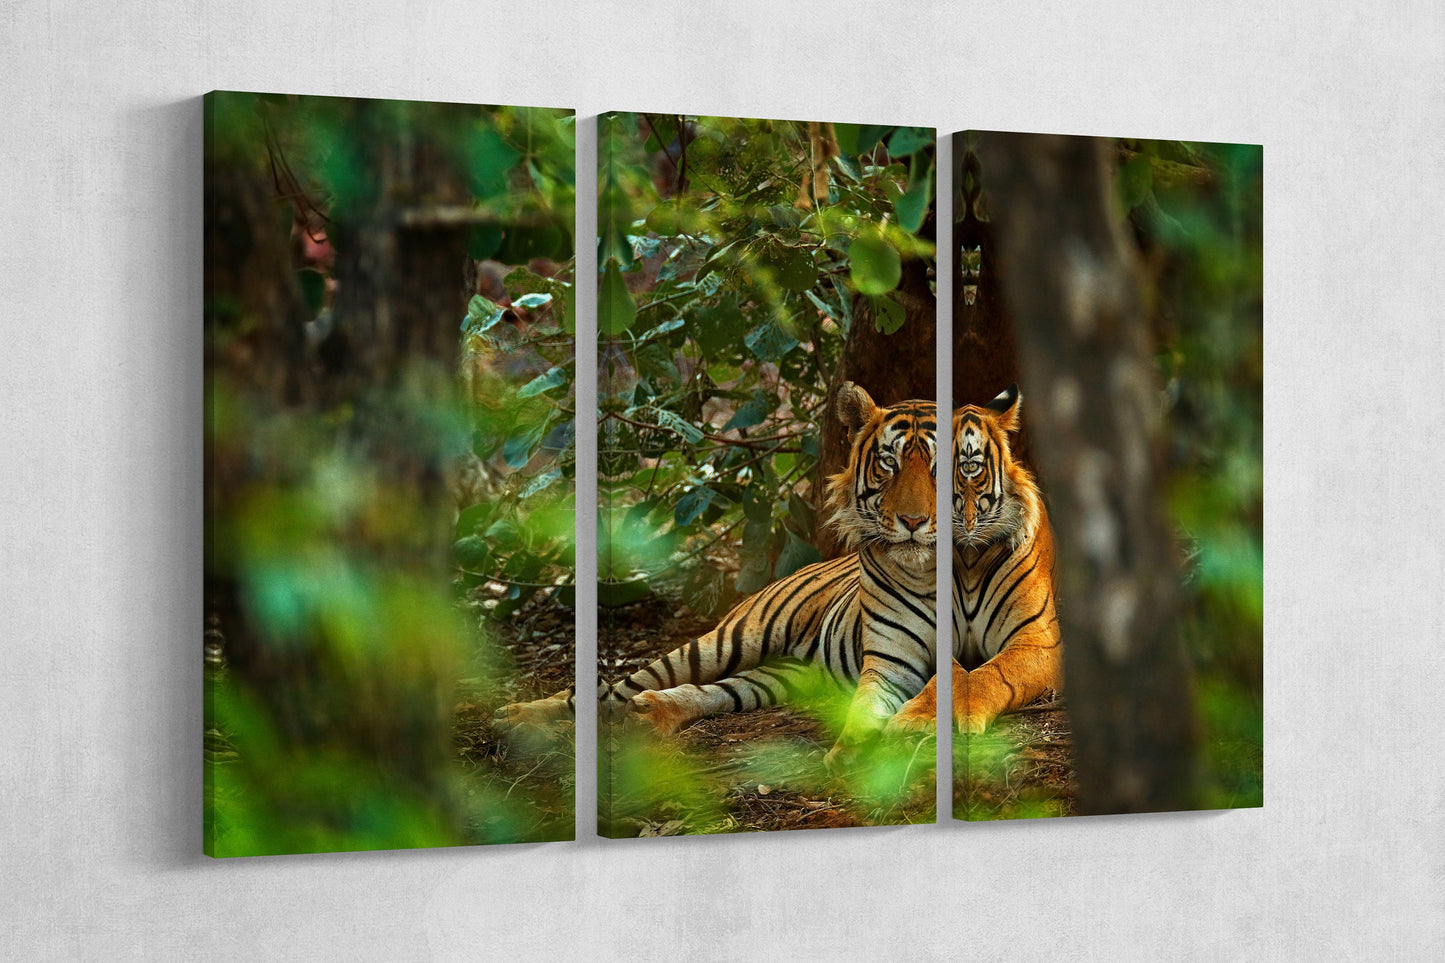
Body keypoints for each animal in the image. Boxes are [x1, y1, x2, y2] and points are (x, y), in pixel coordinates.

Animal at [495, 383, 939, 765]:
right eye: (888, 463)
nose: (913, 520)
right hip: (731, 640)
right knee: (623, 686)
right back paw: (519, 715)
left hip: (788, 674)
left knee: (715, 692)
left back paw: (651, 713)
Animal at [885, 384, 1062, 737]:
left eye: (969, 466)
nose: (916, 516)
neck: (968, 558)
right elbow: (949, 674)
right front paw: (913, 717)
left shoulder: (1038, 638)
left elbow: (997, 672)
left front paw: (969, 710)